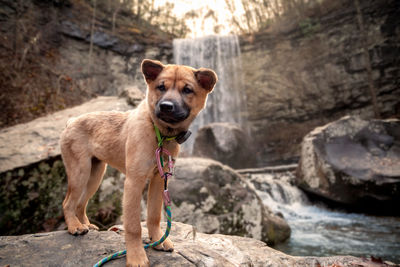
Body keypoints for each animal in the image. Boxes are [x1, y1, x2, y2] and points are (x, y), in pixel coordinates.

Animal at [60, 59, 216, 266]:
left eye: (187, 90)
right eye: (161, 87)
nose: (166, 106)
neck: (160, 134)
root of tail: (71, 122)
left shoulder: (159, 180)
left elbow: (154, 215)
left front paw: (159, 240)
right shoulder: (134, 182)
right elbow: (134, 226)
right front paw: (136, 256)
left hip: (95, 175)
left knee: (80, 203)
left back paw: (85, 224)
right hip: (80, 172)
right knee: (68, 202)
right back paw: (75, 227)